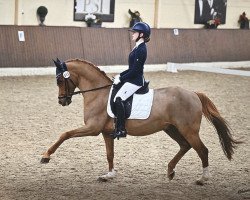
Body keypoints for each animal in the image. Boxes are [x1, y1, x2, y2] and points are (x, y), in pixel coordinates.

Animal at [41, 58, 240, 185]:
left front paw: (46, 156)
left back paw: (202, 179)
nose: (62, 101)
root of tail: (194, 94)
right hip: (172, 129)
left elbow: (65, 134)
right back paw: (170, 171)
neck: (99, 93)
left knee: (202, 150)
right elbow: (110, 154)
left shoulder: (93, 128)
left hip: (188, 130)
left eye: (59, 80)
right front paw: (109, 175)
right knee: (185, 146)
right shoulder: (106, 132)